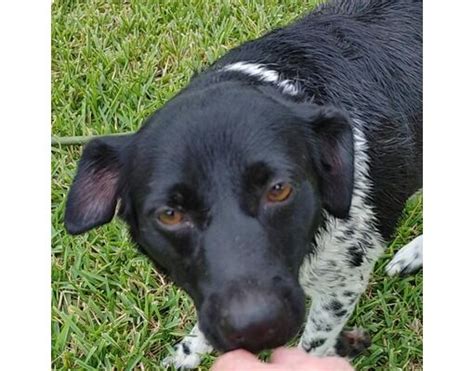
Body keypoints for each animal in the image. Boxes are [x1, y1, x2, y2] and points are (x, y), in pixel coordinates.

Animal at [63, 0, 422, 370]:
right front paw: (189, 353)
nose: (256, 328)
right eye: (170, 214)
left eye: (279, 189)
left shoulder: (343, 281)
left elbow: (312, 345)